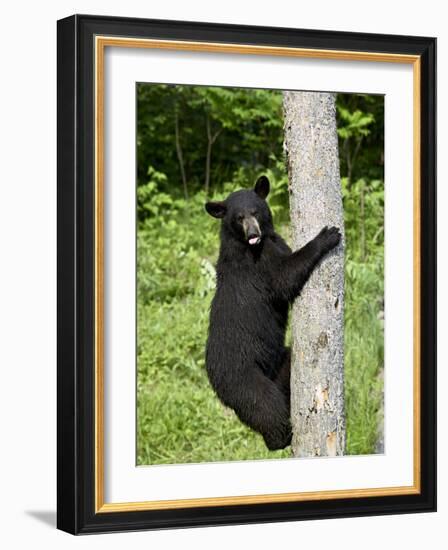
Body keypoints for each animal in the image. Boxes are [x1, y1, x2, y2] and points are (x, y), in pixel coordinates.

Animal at [205, 177, 342, 452]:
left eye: (255, 211)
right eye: (239, 217)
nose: (253, 234)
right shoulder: (258, 265)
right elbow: (285, 277)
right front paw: (327, 235)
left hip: (276, 364)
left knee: (286, 365)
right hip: (243, 379)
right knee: (266, 406)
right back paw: (281, 437)